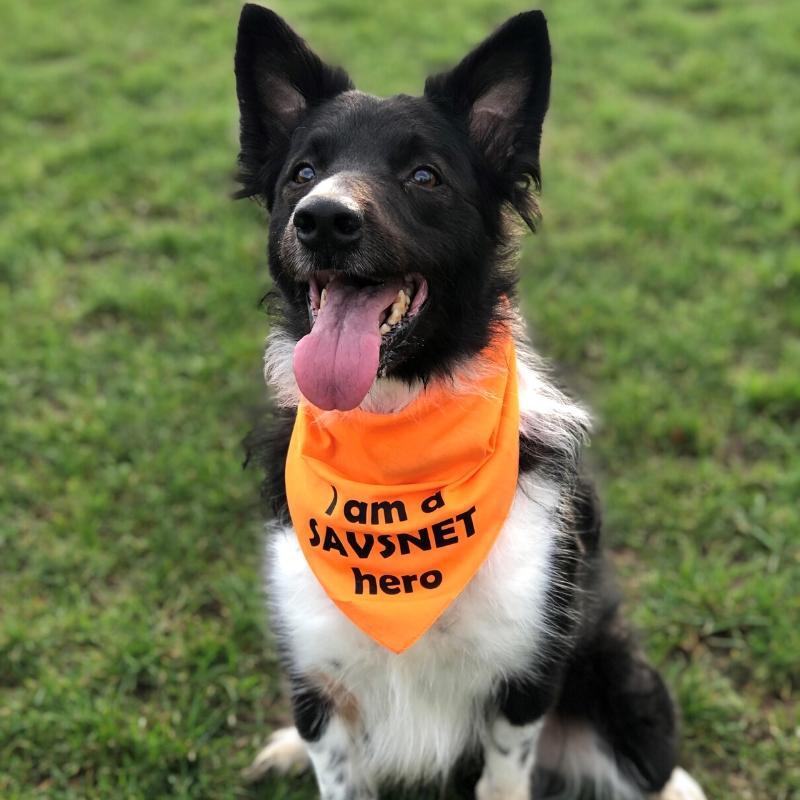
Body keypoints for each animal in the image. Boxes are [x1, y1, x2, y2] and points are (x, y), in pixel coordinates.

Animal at [236, 6, 708, 800]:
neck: (396, 422)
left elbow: (503, 776)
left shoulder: (526, 673)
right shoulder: (317, 674)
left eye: (424, 176)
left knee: (657, 767)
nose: (322, 219)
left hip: (616, 678)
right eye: (303, 172)